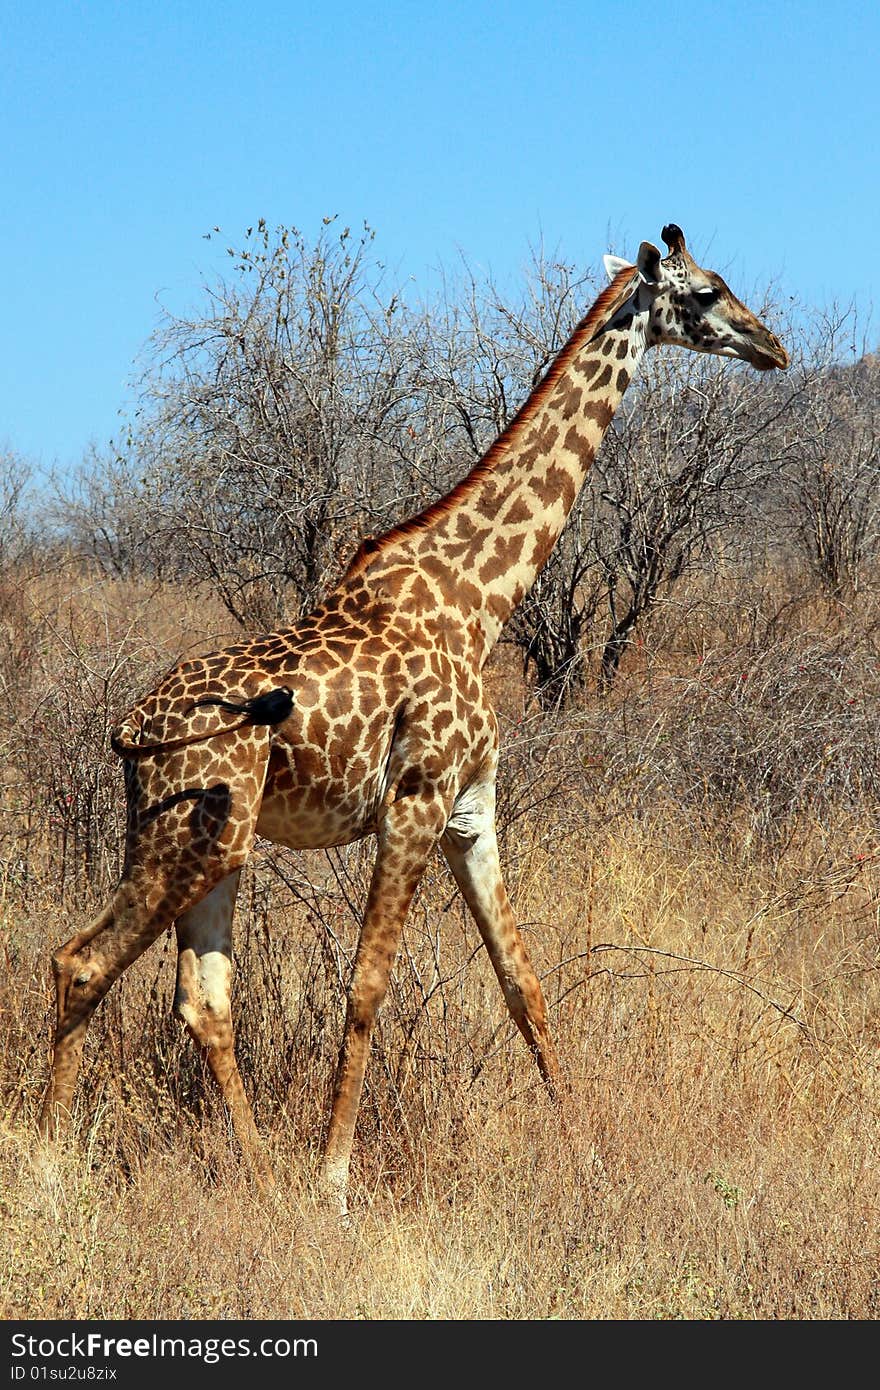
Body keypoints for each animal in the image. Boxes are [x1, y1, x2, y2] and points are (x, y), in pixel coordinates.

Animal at [37, 222, 784, 1212]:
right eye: (706, 293)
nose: (773, 347)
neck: (480, 598)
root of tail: (126, 736)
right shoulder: (415, 803)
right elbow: (367, 987)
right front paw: (333, 1182)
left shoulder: (471, 812)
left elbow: (523, 984)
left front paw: (586, 1159)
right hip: (183, 840)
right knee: (81, 962)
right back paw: (50, 1159)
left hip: (220, 849)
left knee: (203, 1001)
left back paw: (257, 1176)